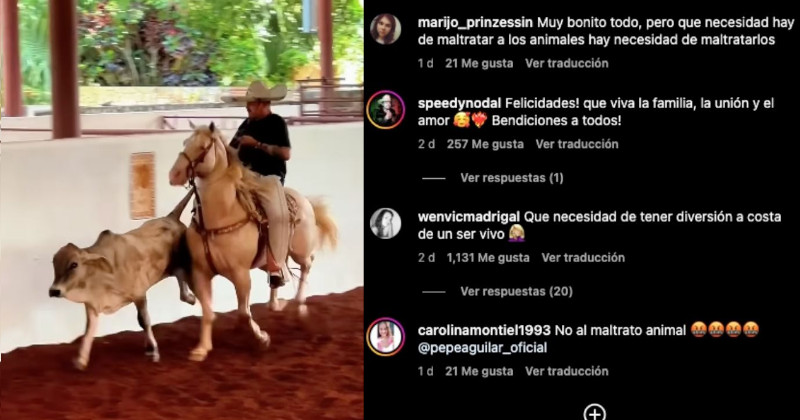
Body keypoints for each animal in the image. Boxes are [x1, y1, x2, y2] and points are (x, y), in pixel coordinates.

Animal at [167, 123, 338, 361]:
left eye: (202, 147)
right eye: (184, 142)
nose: (174, 174)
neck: (220, 216)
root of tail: (303, 200)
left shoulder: (241, 275)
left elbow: (243, 313)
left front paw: (262, 338)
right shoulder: (201, 272)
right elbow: (208, 312)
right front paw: (201, 349)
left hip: (300, 252)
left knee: (307, 266)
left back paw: (299, 307)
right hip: (270, 259)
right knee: (279, 271)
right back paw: (276, 303)